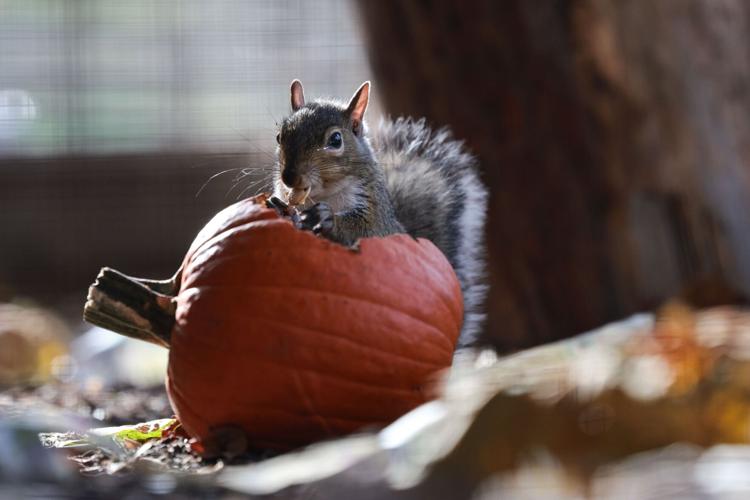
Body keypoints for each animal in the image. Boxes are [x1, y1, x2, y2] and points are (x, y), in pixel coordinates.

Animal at [272, 80, 488, 347]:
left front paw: (326, 218)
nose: (290, 177)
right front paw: (278, 205)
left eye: (335, 139)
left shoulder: (376, 216)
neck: (324, 194)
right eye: (280, 136)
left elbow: (368, 231)